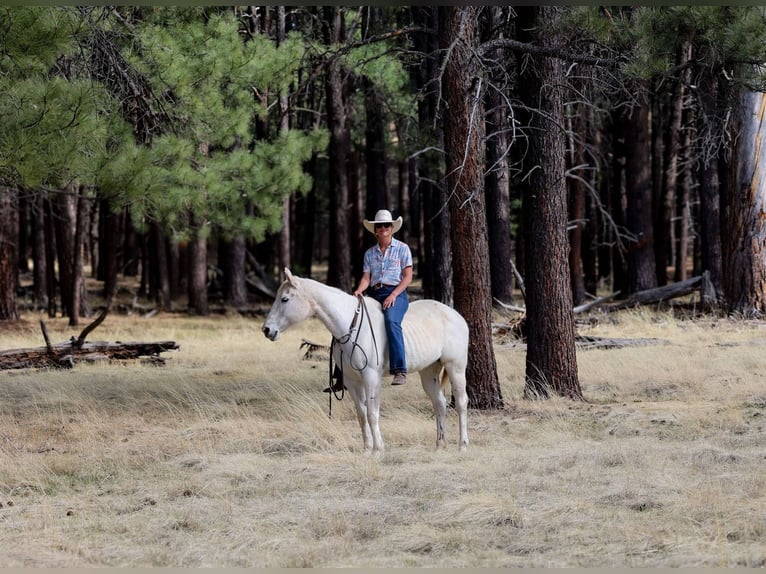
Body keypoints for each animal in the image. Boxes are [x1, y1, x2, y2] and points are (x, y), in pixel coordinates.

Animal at [262, 268, 469, 453]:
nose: (266, 329)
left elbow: (372, 413)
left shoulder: (370, 377)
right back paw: (440, 445)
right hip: (428, 372)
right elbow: (362, 414)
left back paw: (463, 445)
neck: (350, 325)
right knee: (439, 403)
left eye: (285, 299)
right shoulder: (353, 381)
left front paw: (378, 449)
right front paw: (367, 449)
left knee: (461, 402)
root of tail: (456, 315)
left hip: (455, 367)